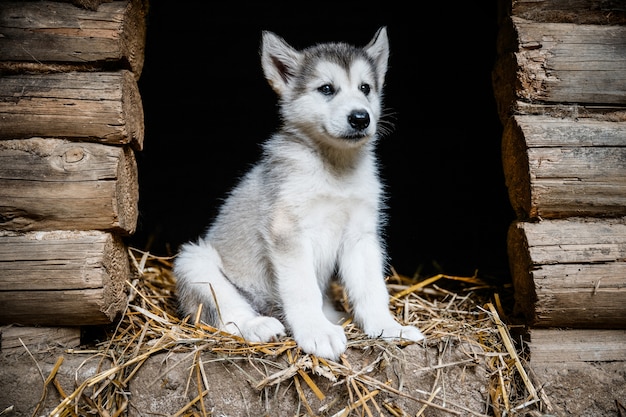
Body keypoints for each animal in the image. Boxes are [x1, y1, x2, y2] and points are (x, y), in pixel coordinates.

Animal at [173, 27, 422, 360]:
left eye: (365, 88)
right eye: (327, 89)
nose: (360, 118)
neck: (335, 170)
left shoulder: (361, 236)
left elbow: (371, 290)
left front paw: (388, 327)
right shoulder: (287, 232)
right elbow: (303, 289)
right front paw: (317, 333)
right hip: (195, 260)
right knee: (226, 314)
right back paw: (258, 326)